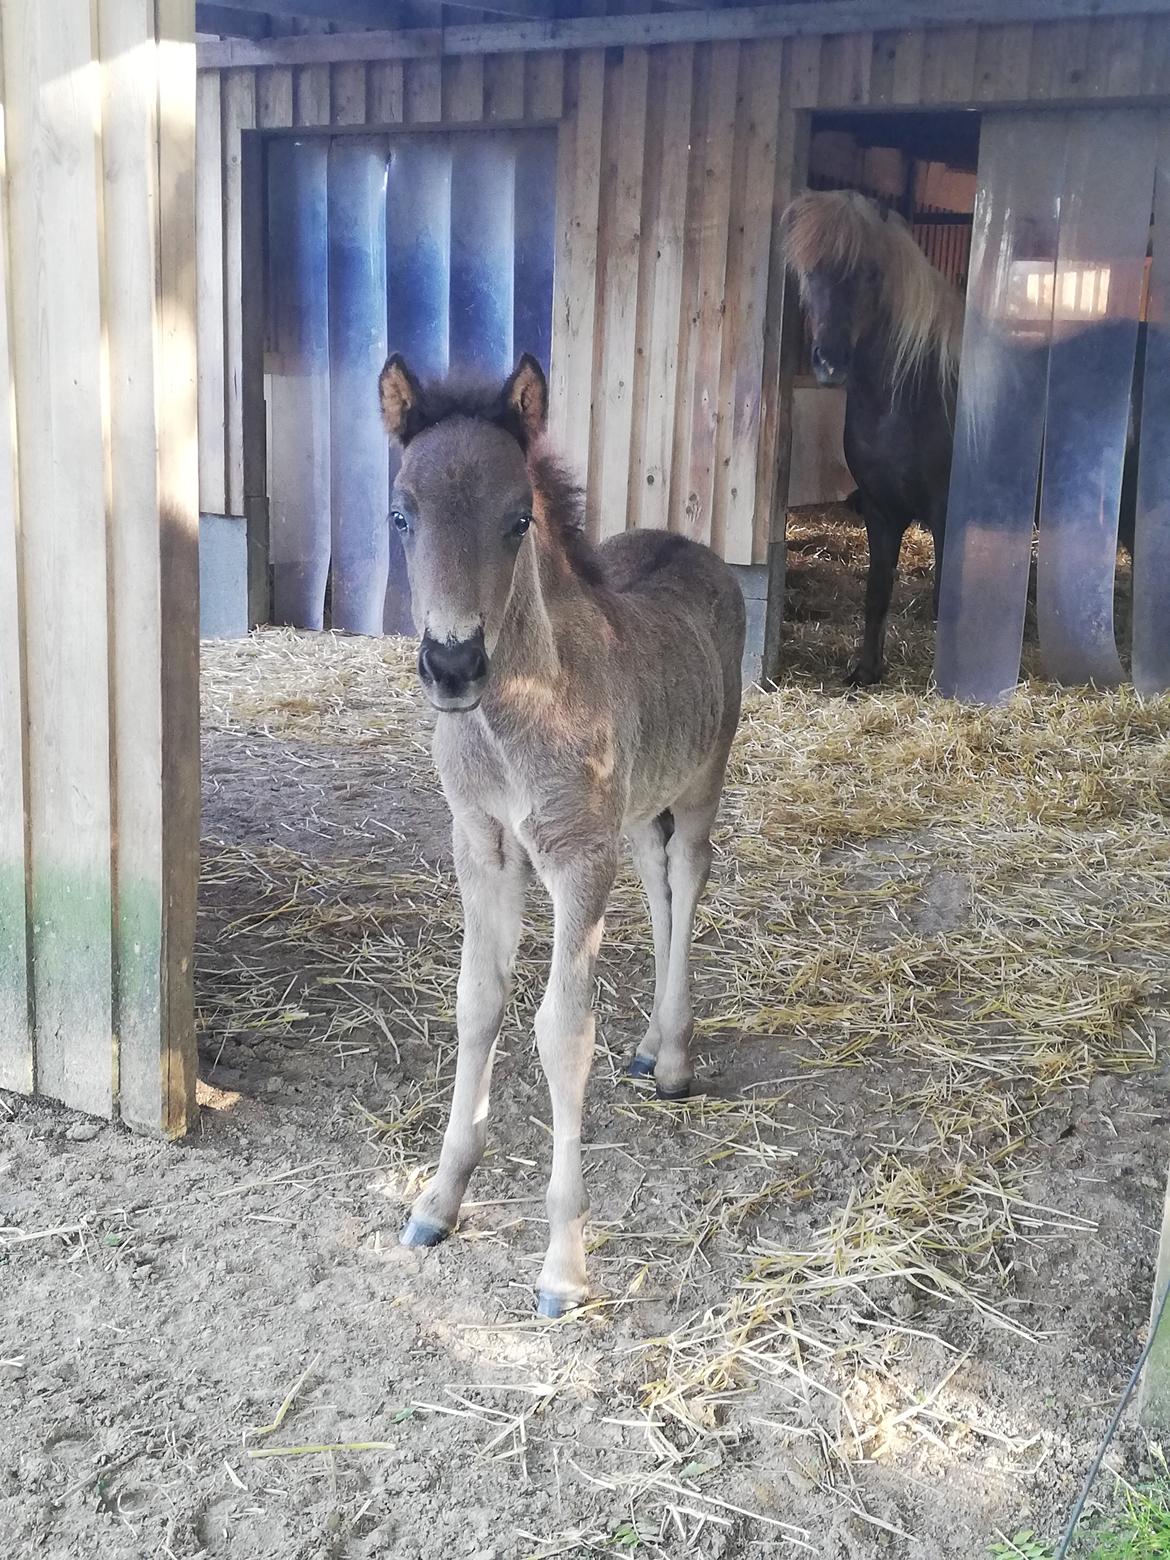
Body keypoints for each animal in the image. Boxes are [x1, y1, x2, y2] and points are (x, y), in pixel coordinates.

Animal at [380, 357, 745, 1316]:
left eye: (518, 521)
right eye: (402, 514)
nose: (453, 664)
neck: (513, 717)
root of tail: (692, 546)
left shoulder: (579, 856)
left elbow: (561, 1031)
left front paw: (563, 1262)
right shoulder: (481, 842)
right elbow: (477, 1002)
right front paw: (438, 1200)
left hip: (702, 778)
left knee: (689, 875)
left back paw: (676, 1056)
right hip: (639, 807)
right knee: (657, 883)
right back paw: (653, 1044)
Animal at [780, 187, 960, 683]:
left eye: (870, 273)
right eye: (808, 271)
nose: (830, 362)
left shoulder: (946, 513)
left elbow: (942, 598)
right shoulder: (881, 511)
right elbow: (876, 592)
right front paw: (865, 672)